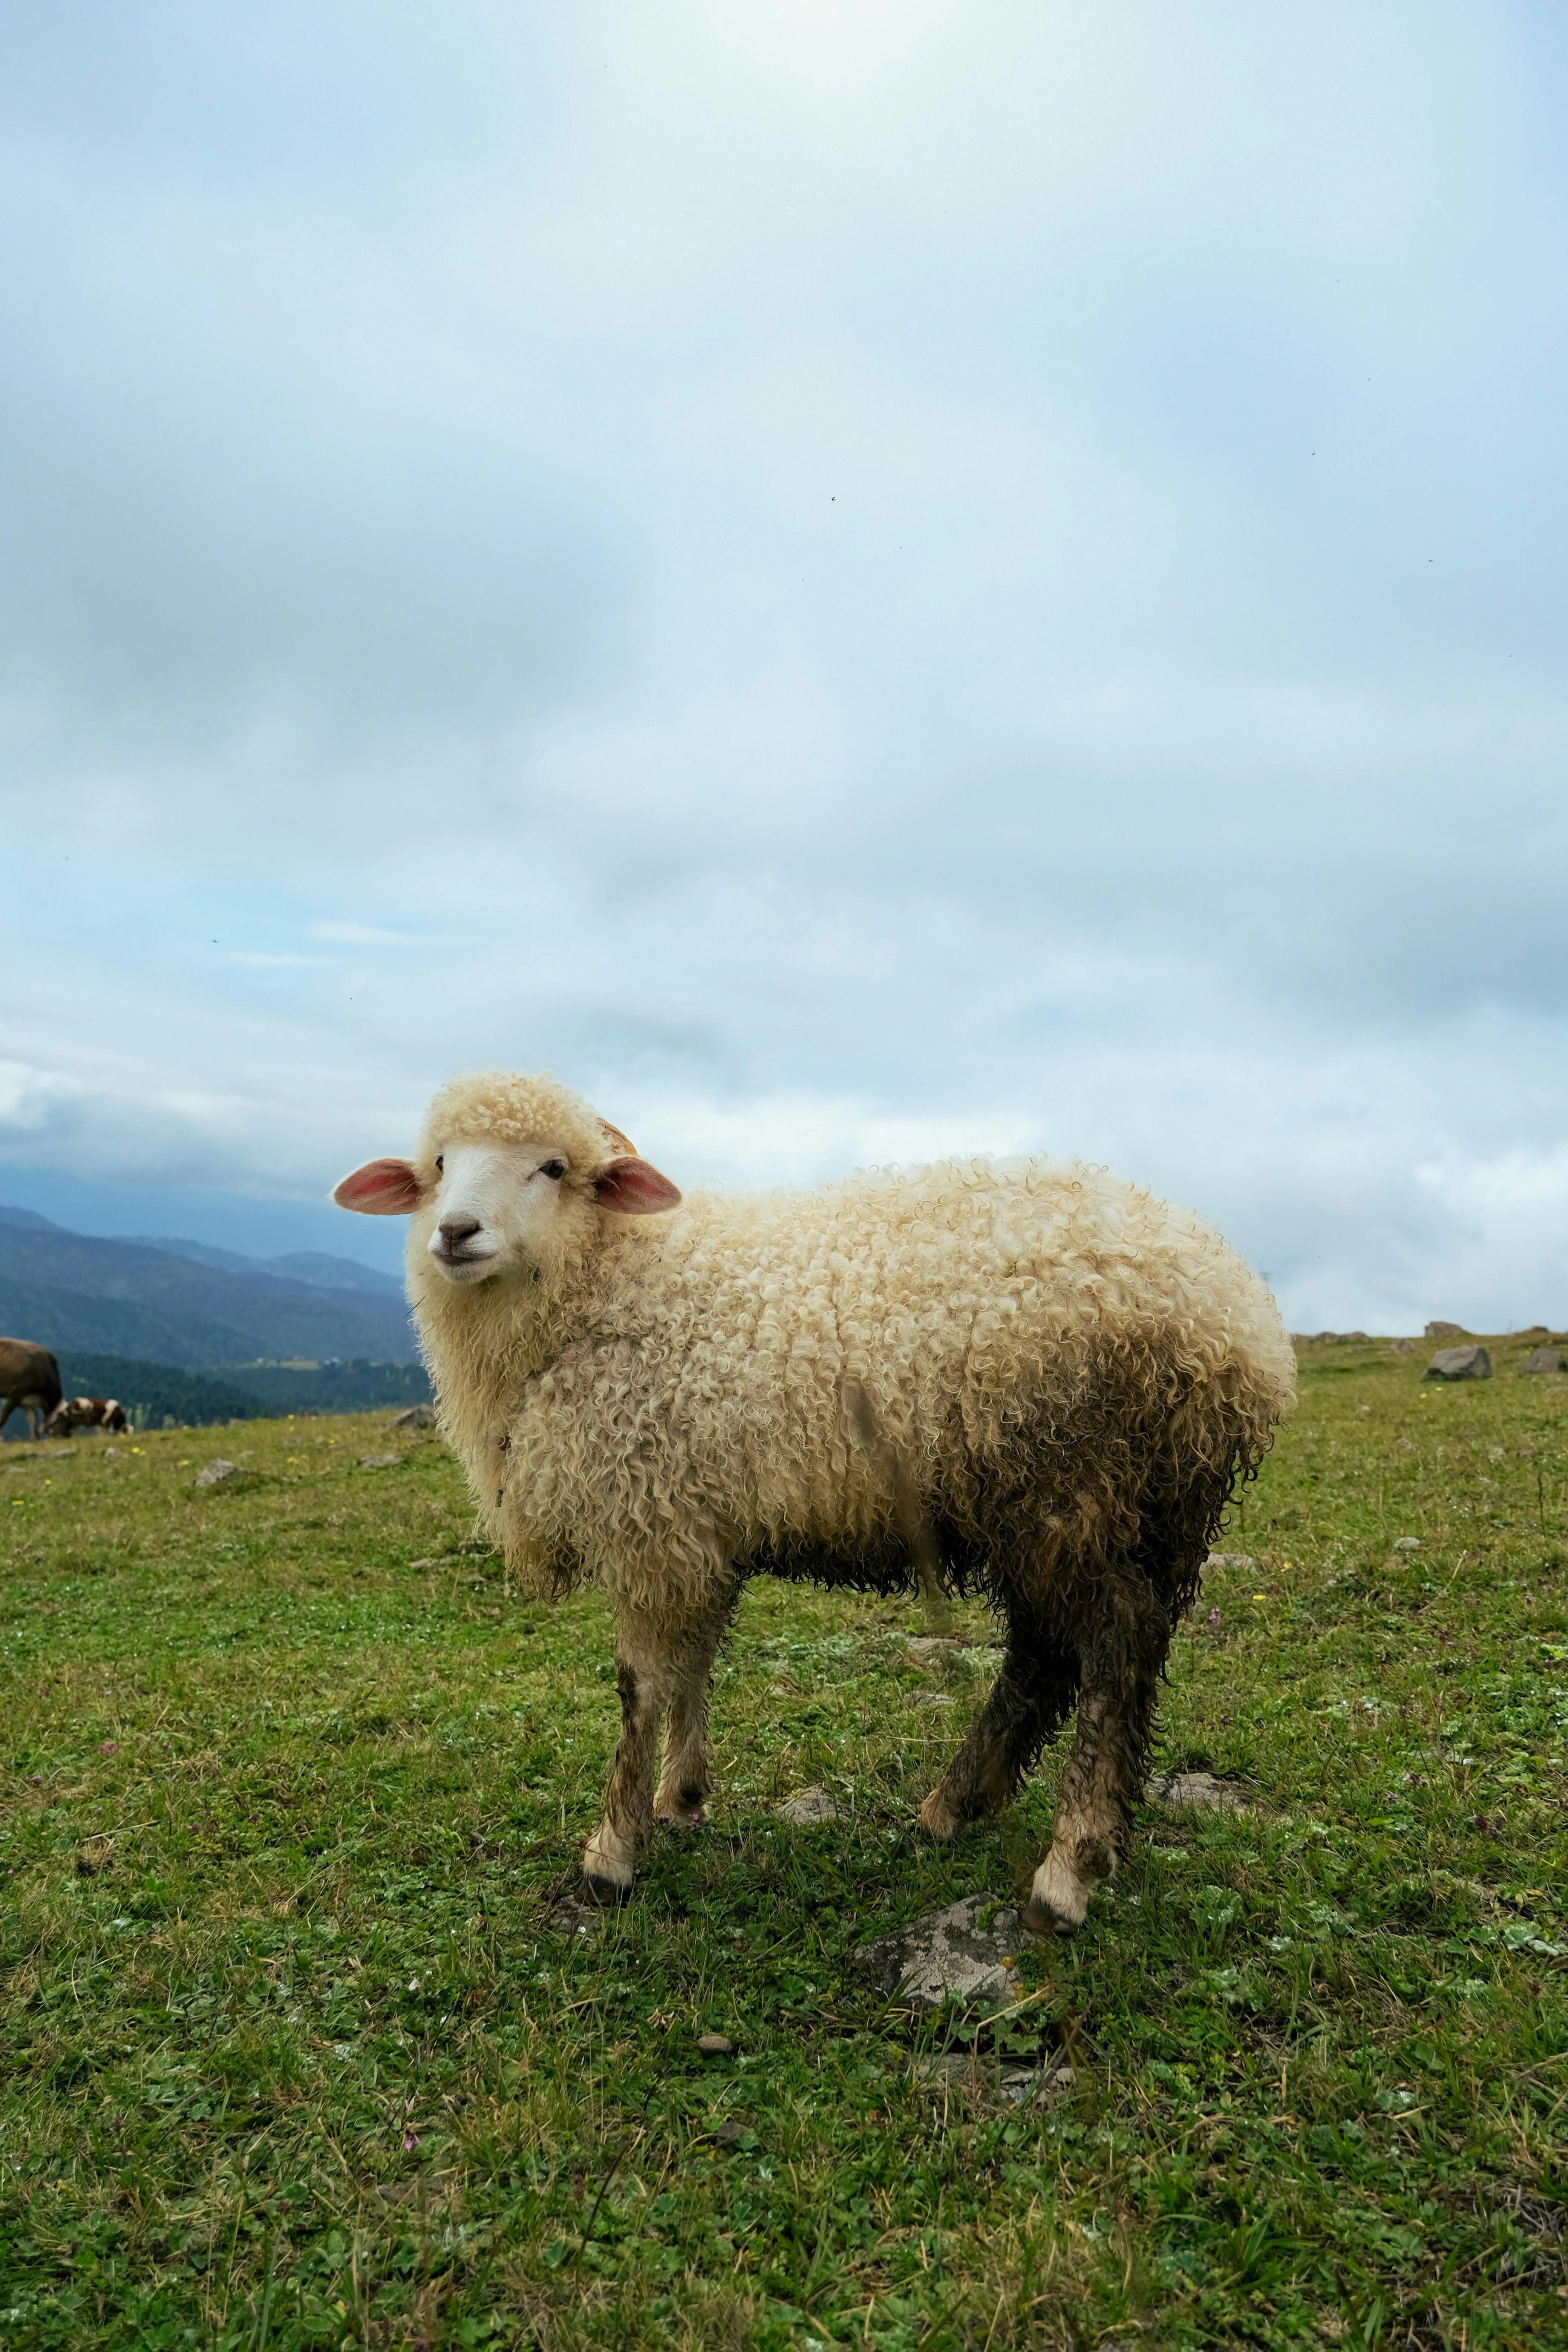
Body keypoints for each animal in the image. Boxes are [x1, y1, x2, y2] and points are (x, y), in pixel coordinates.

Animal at [335, 1069, 1295, 1933]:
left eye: (553, 1168)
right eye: (439, 1164)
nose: (456, 1231)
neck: (608, 1283)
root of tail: (1237, 1323)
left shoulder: (647, 1517)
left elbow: (640, 1684)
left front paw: (612, 1852)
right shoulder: (695, 1523)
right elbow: (697, 1662)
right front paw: (683, 1796)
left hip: (1067, 1486)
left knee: (1111, 1645)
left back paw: (1069, 1867)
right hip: (1128, 1508)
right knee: (1051, 1654)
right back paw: (959, 1806)